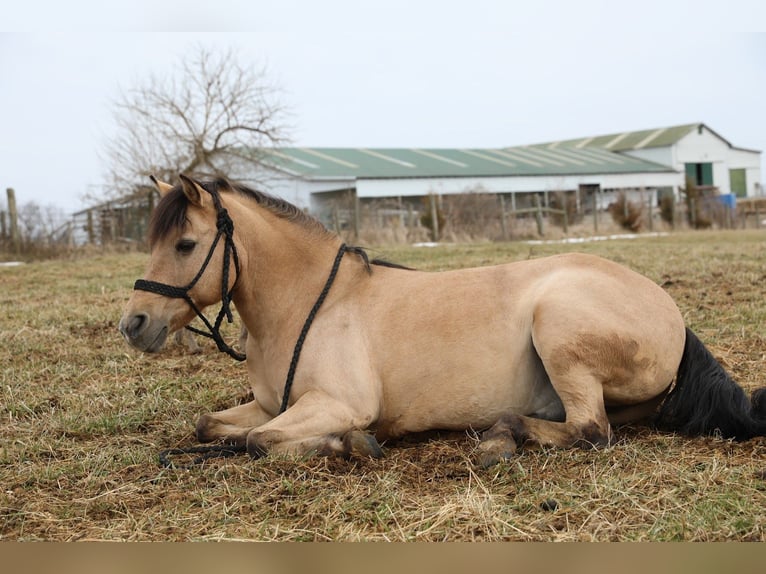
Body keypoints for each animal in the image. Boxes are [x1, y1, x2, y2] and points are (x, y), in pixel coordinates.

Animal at [119, 175, 766, 466]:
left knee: (591, 431)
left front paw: (351, 444)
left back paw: (504, 437)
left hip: (558, 327)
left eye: (184, 244)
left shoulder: (335, 403)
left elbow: (258, 441)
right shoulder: (272, 403)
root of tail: (671, 312)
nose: (134, 324)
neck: (309, 305)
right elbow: (210, 425)